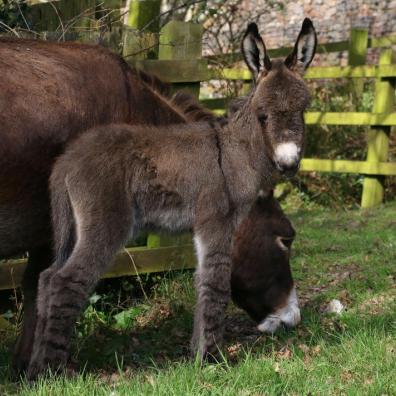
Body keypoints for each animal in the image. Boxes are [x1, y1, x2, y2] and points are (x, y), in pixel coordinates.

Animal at [27, 17, 318, 378]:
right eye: (262, 115)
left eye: (303, 111)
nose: (288, 163)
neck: (234, 153)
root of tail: (68, 159)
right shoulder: (218, 222)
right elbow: (216, 284)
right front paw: (213, 359)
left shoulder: (202, 228)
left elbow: (202, 282)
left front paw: (198, 355)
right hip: (105, 225)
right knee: (66, 281)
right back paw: (51, 371)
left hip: (70, 226)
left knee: (47, 278)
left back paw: (34, 369)